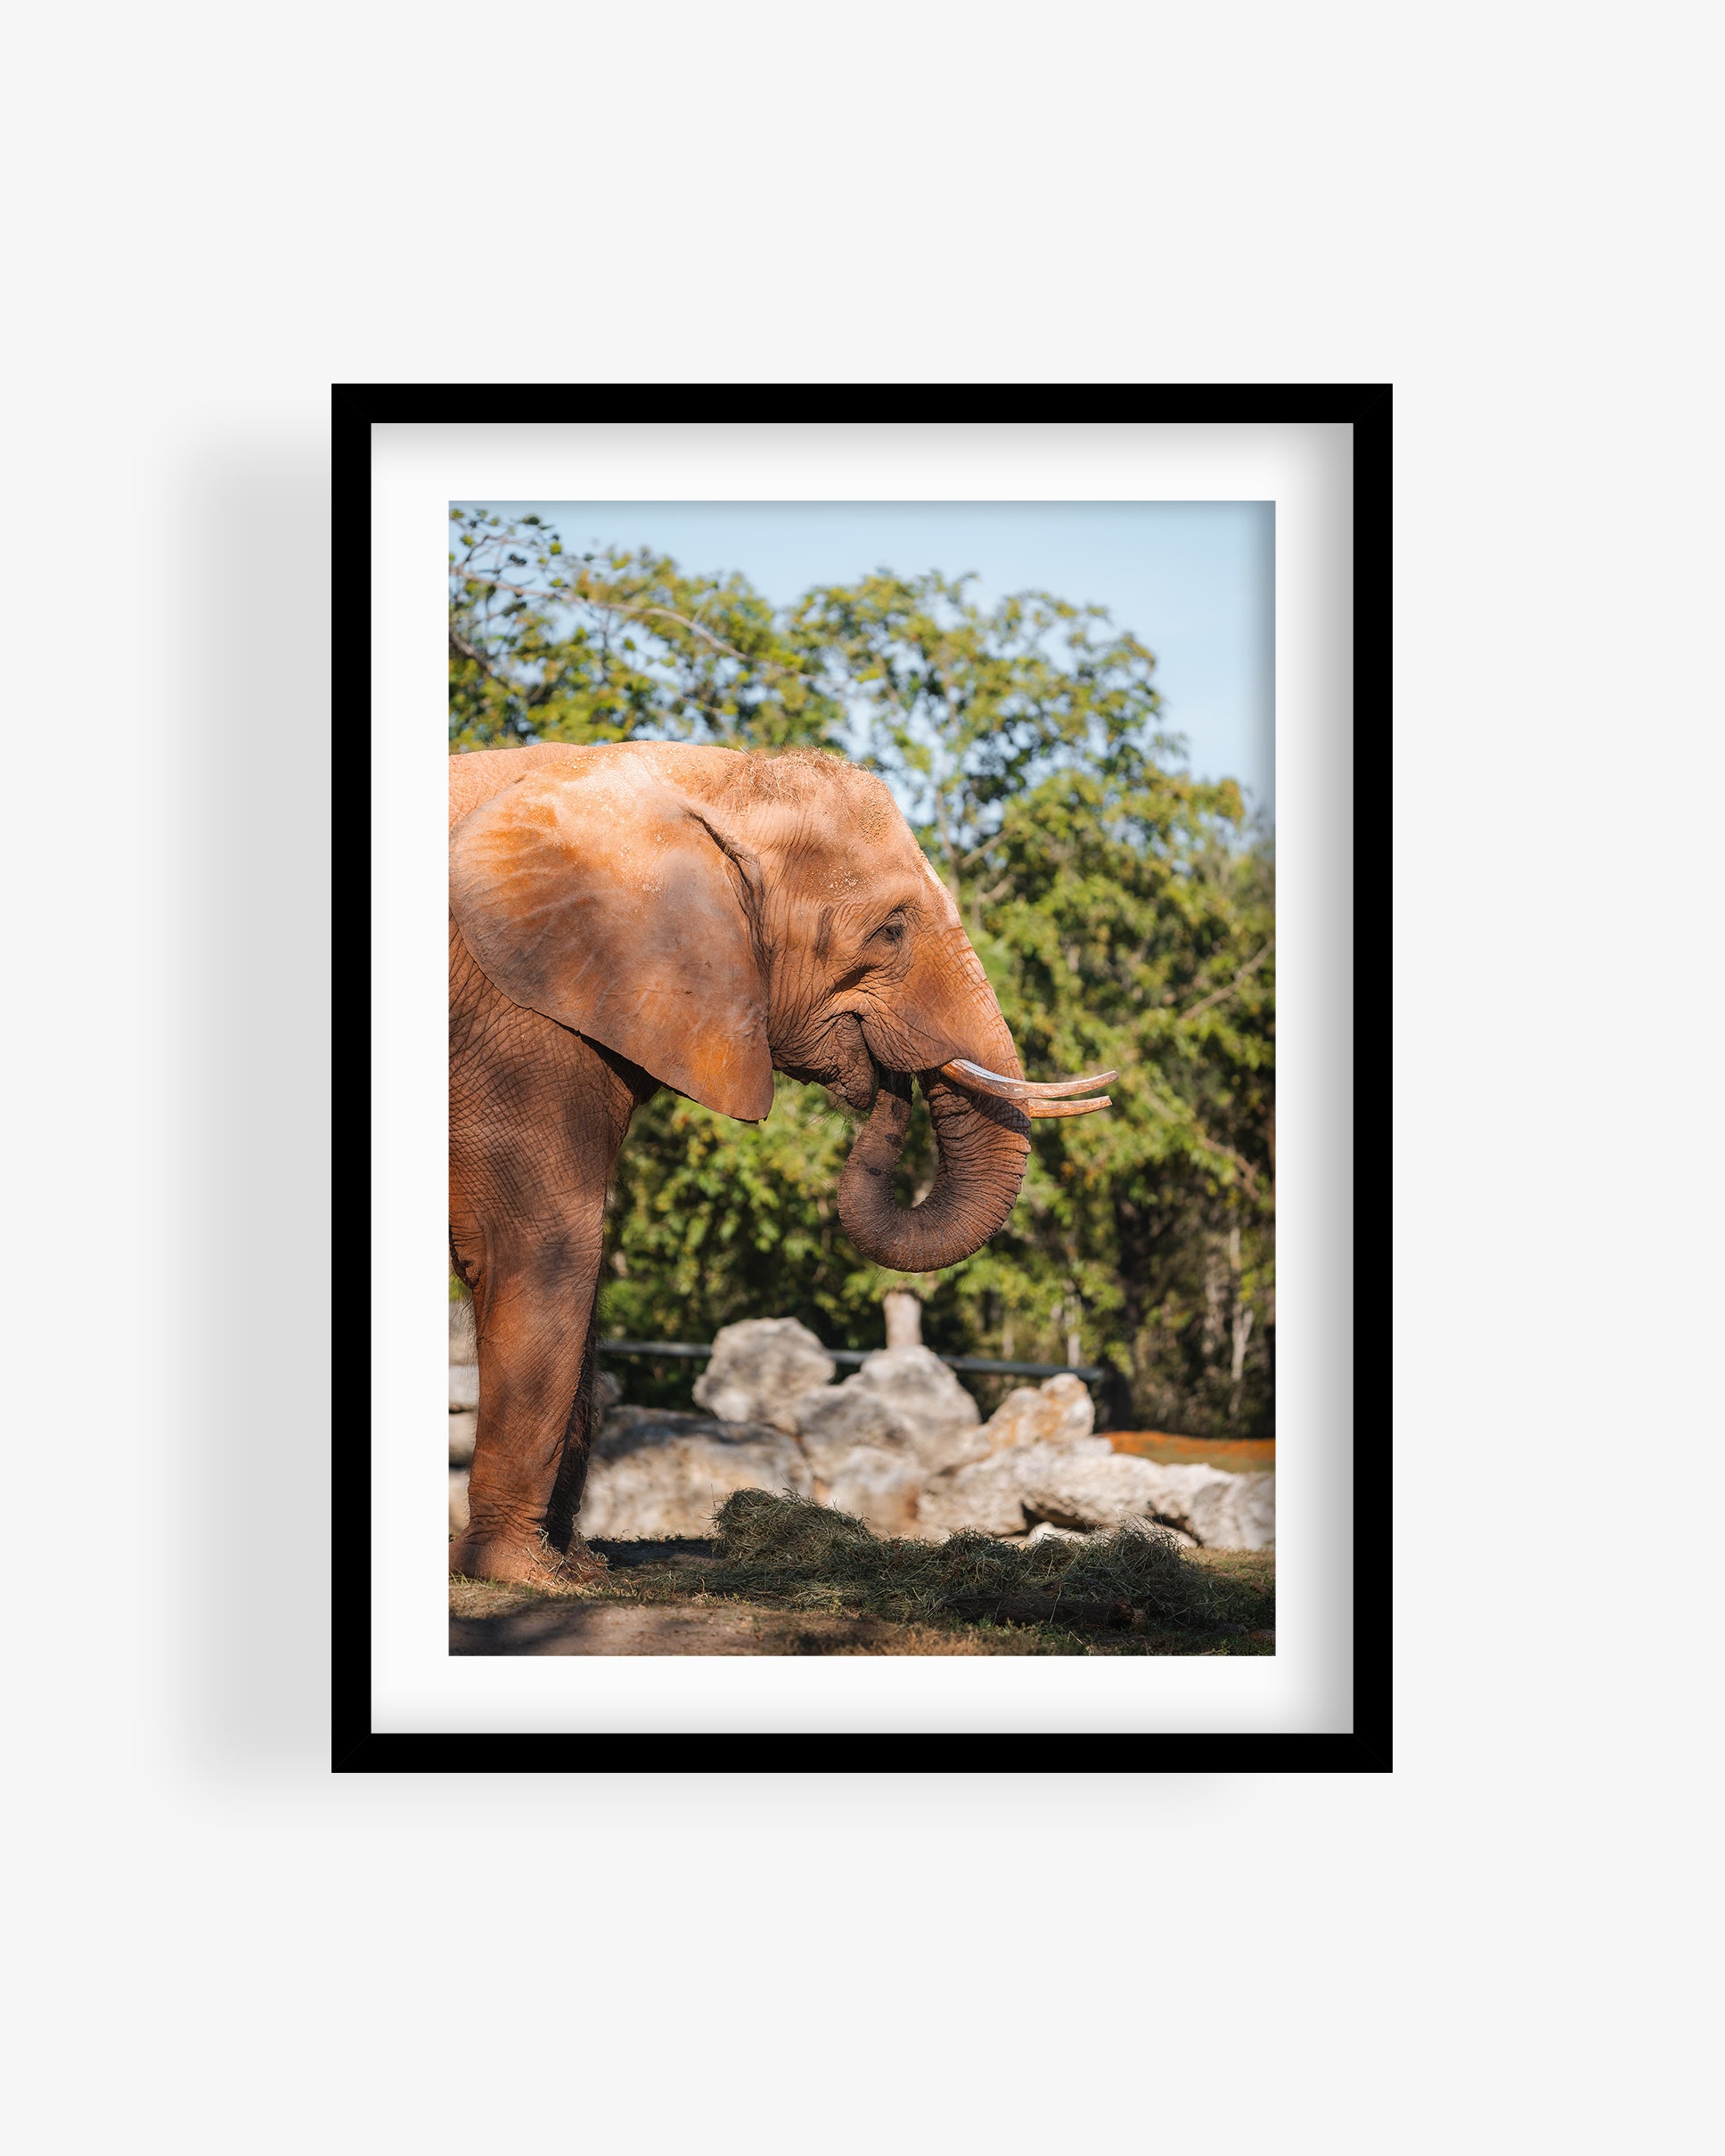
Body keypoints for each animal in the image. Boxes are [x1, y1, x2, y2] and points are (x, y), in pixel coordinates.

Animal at [447, 740, 1113, 1586]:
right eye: (891, 930)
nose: (891, 1081)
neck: (699, 773)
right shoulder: (516, 1013)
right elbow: (543, 1242)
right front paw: (522, 1576)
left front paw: (579, 1570)